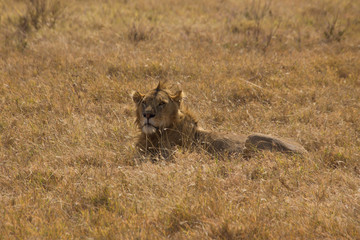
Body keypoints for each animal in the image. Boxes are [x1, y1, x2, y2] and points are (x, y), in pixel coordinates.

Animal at [132, 82, 306, 159]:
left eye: (162, 103)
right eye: (144, 103)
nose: (148, 115)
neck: (155, 135)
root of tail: (306, 152)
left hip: (252, 137)